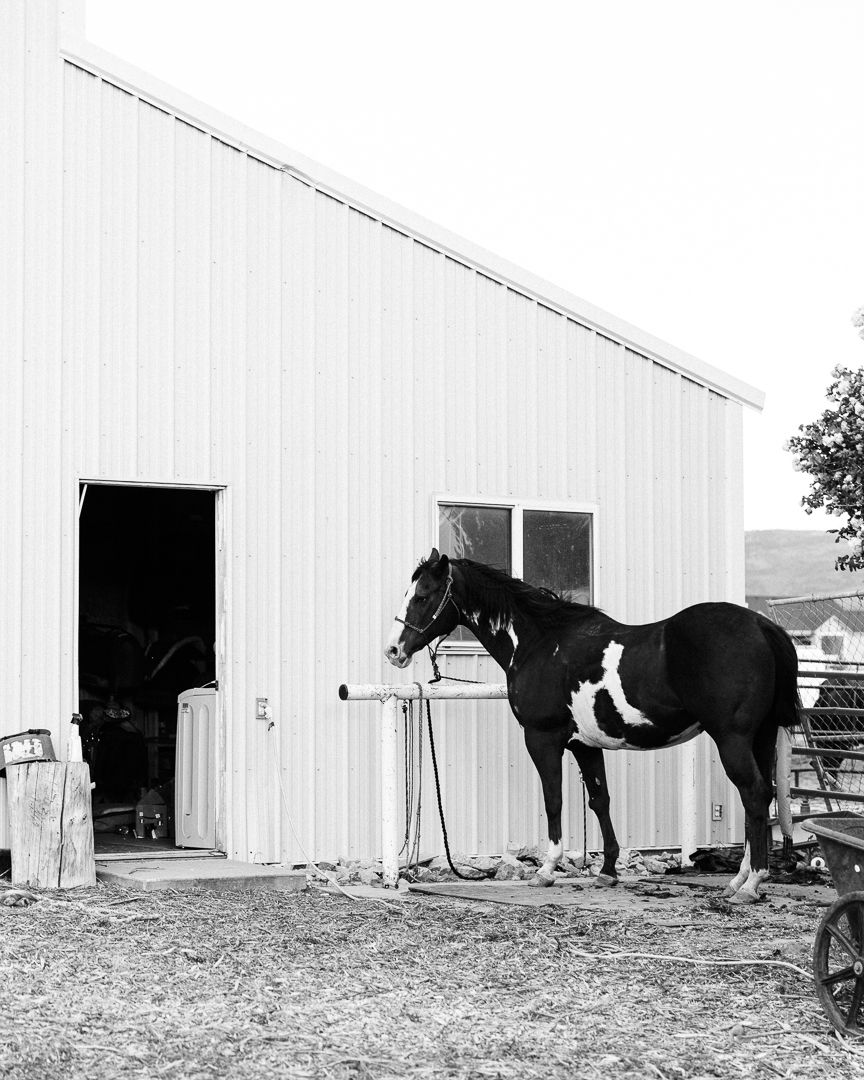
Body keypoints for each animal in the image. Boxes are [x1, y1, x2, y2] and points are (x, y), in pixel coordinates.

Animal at [385, 550, 798, 903]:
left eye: (422, 595)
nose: (393, 651)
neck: (541, 642)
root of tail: (762, 626)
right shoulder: (585, 744)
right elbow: (600, 800)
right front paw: (607, 870)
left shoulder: (543, 739)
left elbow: (553, 800)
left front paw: (547, 871)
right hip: (760, 738)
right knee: (760, 799)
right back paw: (738, 881)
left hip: (733, 739)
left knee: (754, 795)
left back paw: (752, 883)